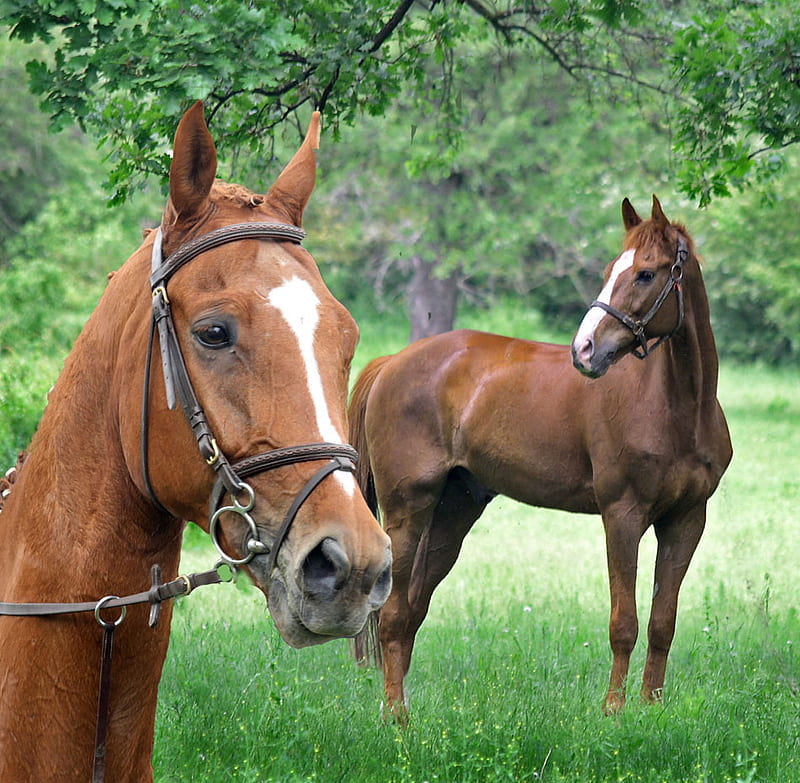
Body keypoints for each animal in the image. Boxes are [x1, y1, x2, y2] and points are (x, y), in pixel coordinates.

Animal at [350, 198, 732, 724]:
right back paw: (396, 718)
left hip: (453, 513)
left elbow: (662, 622)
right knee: (391, 616)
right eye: (611, 270)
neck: (679, 408)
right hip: (408, 510)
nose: (584, 350)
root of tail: (392, 362)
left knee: (411, 611)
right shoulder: (623, 516)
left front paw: (650, 707)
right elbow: (624, 623)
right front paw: (613, 710)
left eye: (646, 274)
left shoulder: (687, 520)